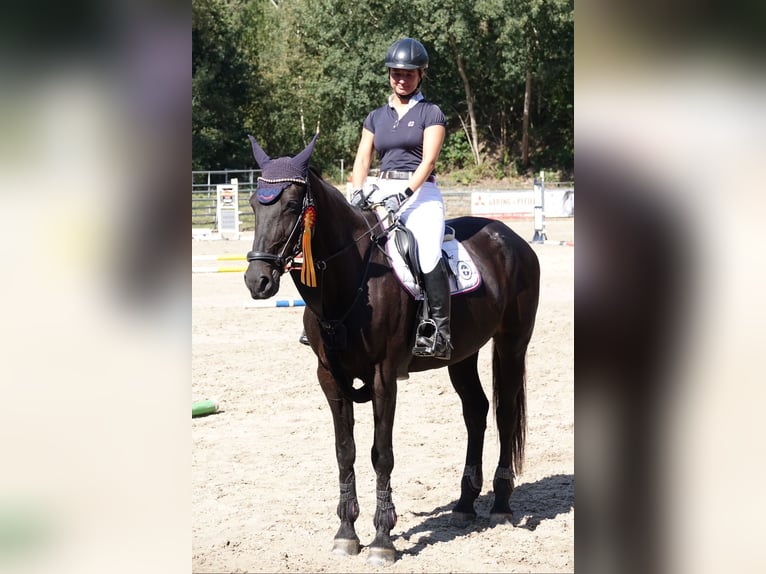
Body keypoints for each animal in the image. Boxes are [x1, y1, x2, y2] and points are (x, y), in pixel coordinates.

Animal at [243, 136, 540, 565]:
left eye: (291, 204)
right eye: (254, 203)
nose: (257, 280)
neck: (353, 279)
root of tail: (510, 237)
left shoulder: (384, 376)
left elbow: (381, 453)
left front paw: (383, 539)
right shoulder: (329, 377)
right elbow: (345, 451)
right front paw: (346, 533)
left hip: (512, 343)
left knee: (504, 413)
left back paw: (500, 504)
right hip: (461, 355)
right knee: (476, 411)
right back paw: (465, 503)